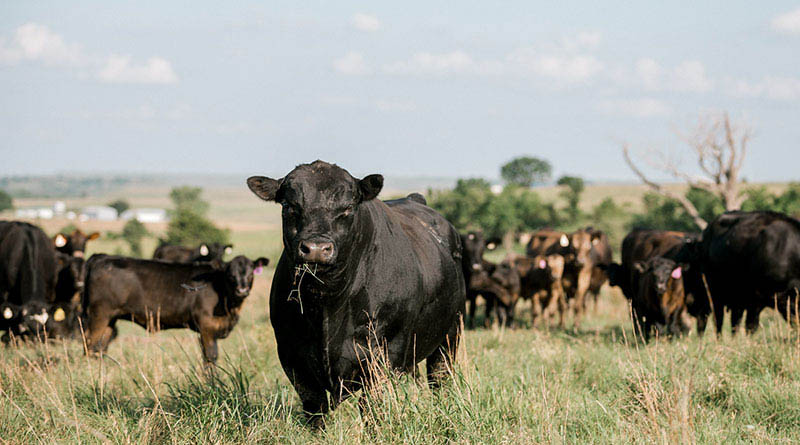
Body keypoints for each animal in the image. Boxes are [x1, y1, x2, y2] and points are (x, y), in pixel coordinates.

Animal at [82, 254, 268, 363]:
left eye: (251, 273)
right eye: (231, 274)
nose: (242, 290)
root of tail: (102, 257)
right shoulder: (206, 327)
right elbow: (210, 357)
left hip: (110, 319)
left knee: (99, 348)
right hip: (99, 314)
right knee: (89, 345)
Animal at [247, 160, 465, 428]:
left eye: (348, 207)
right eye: (289, 205)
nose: (317, 248)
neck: (327, 303)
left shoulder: (385, 352)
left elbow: (372, 406)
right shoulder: (292, 354)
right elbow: (315, 409)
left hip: (450, 334)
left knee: (440, 378)